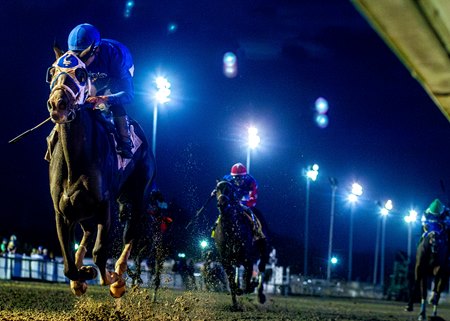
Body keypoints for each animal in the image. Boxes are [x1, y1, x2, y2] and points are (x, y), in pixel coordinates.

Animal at [45, 45, 156, 298]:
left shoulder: (105, 206)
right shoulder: (61, 212)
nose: (58, 104)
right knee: (86, 232)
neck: (75, 160)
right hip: (82, 210)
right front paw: (81, 275)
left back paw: (119, 273)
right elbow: (68, 265)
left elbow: (99, 253)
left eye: (81, 74)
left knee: (130, 232)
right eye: (52, 71)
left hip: (137, 196)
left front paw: (111, 279)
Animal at [212, 180, 266, 308]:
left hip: (262, 249)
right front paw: (235, 303)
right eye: (217, 190)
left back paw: (260, 295)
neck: (231, 232)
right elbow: (232, 283)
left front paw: (250, 287)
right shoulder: (226, 261)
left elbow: (247, 282)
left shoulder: (248, 260)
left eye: (230, 190)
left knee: (261, 269)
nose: (222, 203)